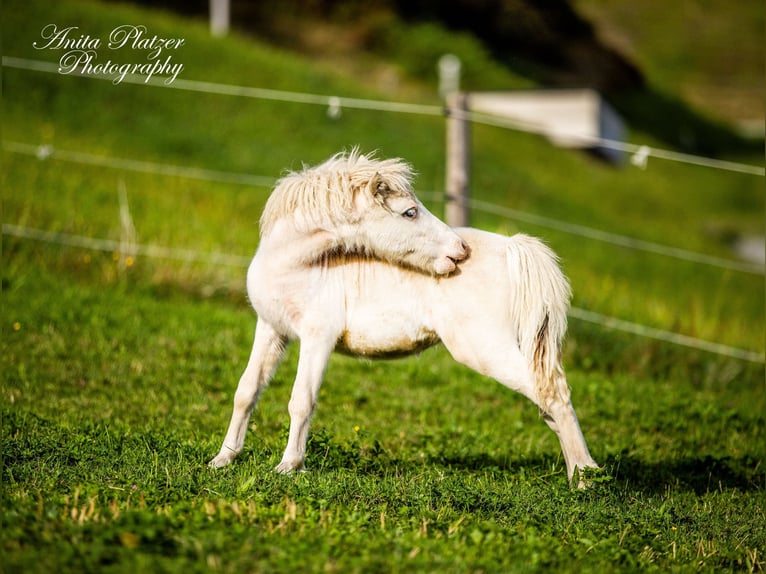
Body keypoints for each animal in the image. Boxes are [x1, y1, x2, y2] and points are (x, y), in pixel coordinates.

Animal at [210, 150, 600, 486]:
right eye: (410, 212)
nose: (459, 250)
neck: (297, 266)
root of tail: (511, 248)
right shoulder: (272, 329)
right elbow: (246, 390)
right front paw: (224, 458)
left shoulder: (317, 338)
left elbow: (301, 400)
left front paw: (289, 466)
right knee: (547, 402)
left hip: (484, 350)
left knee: (553, 393)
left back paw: (585, 480)